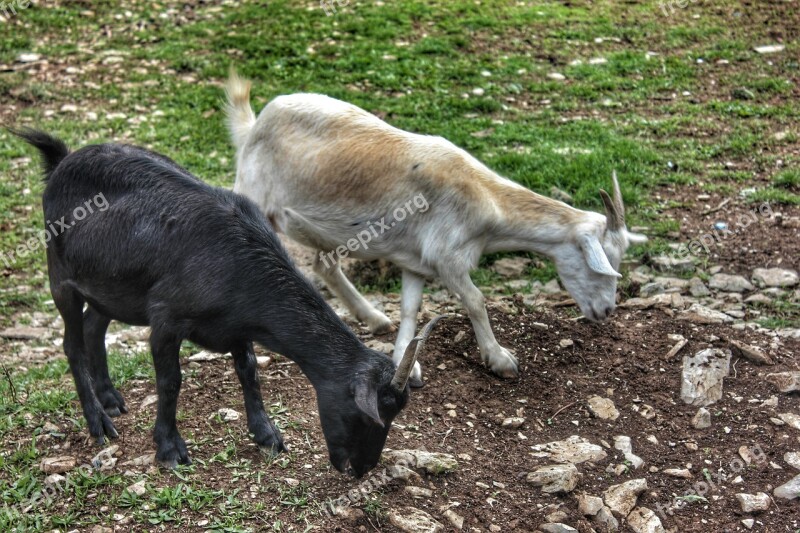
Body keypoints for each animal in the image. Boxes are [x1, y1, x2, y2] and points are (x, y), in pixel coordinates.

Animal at [14, 130, 438, 478]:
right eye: (372, 415)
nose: (361, 469)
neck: (239, 259)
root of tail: (62, 161)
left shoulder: (237, 322)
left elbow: (249, 370)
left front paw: (267, 433)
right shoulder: (166, 318)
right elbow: (171, 381)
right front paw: (169, 447)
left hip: (110, 288)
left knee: (93, 326)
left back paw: (112, 399)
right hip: (60, 276)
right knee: (71, 343)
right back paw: (98, 422)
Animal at [223, 71, 644, 386]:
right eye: (599, 262)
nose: (606, 310)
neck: (485, 200)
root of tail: (254, 124)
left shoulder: (417, 262)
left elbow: (412, 308)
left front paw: (404, 363)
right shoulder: (447, 258)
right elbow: (475, 300)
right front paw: (500, 359)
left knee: (325, 265)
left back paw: (372, 318)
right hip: (253, 196)